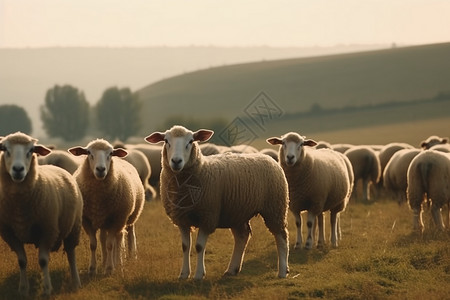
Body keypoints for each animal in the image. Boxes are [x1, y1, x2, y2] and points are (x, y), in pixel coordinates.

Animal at [0, 132, 82, 296]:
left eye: (31, 150)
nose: (18, 169)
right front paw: (23, 290)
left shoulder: (48, 230)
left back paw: (76, 282)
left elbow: (43, 261)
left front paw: (46, 289)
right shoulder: (9, 234)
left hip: (74, 227)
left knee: (71, 254)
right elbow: (22, 261)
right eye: (5, 149)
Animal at [68, 139, 144, 276]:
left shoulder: (116, 219)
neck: (98, 199)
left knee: (126, 236)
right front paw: (93, 269)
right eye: (89, 153)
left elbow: (110, 244)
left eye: (111, 153)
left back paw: (126, 260)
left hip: (128, 217)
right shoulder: (87, 220)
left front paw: (109, 269)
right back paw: (106, 261)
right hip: (105, 220)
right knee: (105, 238)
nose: (100, 169)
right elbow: (94, 244)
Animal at [146, 125, 290, 280]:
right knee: (242, 236)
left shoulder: (207, 216)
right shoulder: (182, 219)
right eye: (166, 141)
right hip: (237, 212)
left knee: (281, 236)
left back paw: (282, 271)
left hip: (275, 207)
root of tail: (268, 157)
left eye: (191, 141)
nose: (176, 161)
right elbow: (185, 246)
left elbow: (199, 246)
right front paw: (184, 274)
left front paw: (199, 275)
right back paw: (232, 269)